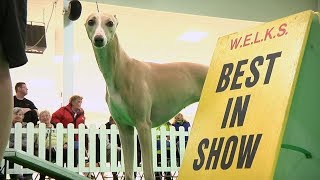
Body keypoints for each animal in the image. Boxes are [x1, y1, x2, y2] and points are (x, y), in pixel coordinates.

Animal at [85, 12, 209, 180]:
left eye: (110, 23)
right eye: (91, 21)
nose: (99, 39)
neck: (121, 69)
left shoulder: (143, 126)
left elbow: (149, 172)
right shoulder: (124, 128)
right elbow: (128, 172)